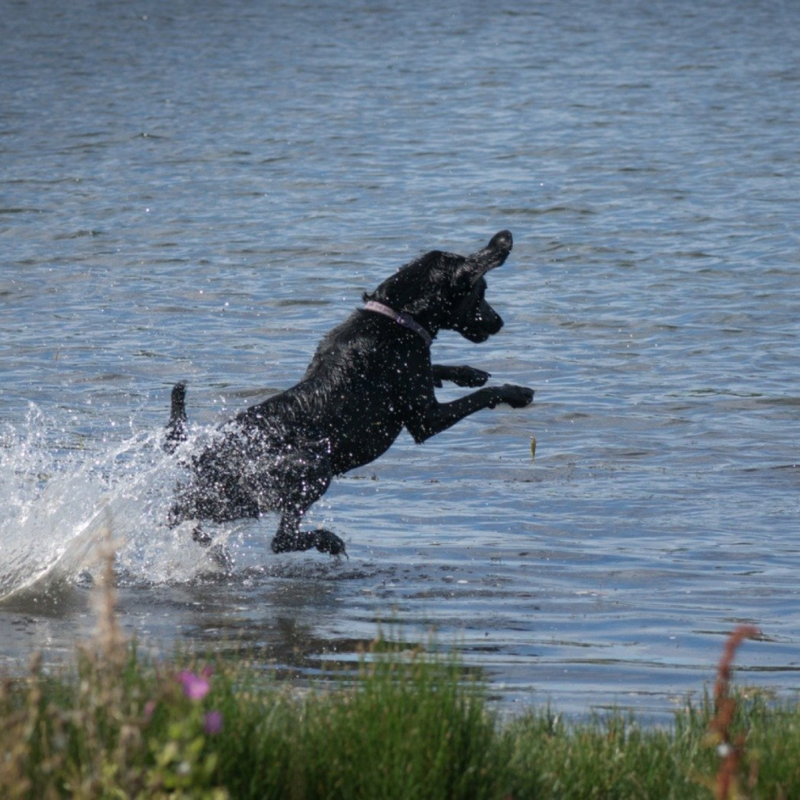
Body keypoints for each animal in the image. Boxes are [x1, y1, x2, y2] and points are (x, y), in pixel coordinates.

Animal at [166, 230, 536, 556]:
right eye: (481, 292)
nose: (499, 322)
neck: (398, 316)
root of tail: (203, 453)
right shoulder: (424, 419)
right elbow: (482, 396)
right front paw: (516, 392)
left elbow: (438, 369)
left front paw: (469, 373)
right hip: (311, 465)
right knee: (280, 540)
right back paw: (325, 541)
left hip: (229, 497)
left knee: (180, 512)